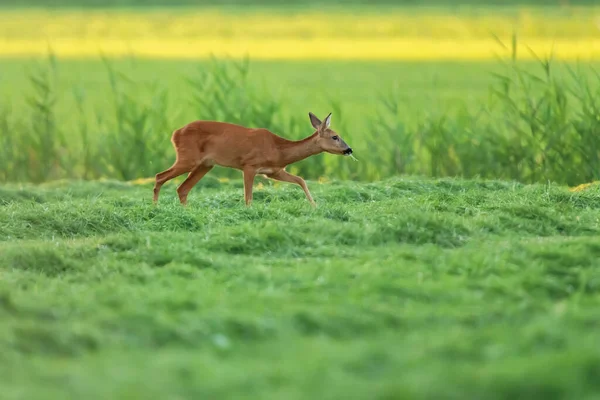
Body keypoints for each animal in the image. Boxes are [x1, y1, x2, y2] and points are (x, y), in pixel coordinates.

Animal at [152, 111, 354, 208]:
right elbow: (248, 198)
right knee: (160, 176)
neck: (278, 150)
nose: (349, 149)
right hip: (188, 158)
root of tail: (175, 133)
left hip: (205, 165)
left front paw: (314, 206)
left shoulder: (274, 172)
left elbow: (301, 180)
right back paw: (155, 208)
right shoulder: (249, 165)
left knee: (182, 188)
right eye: (335, 136)